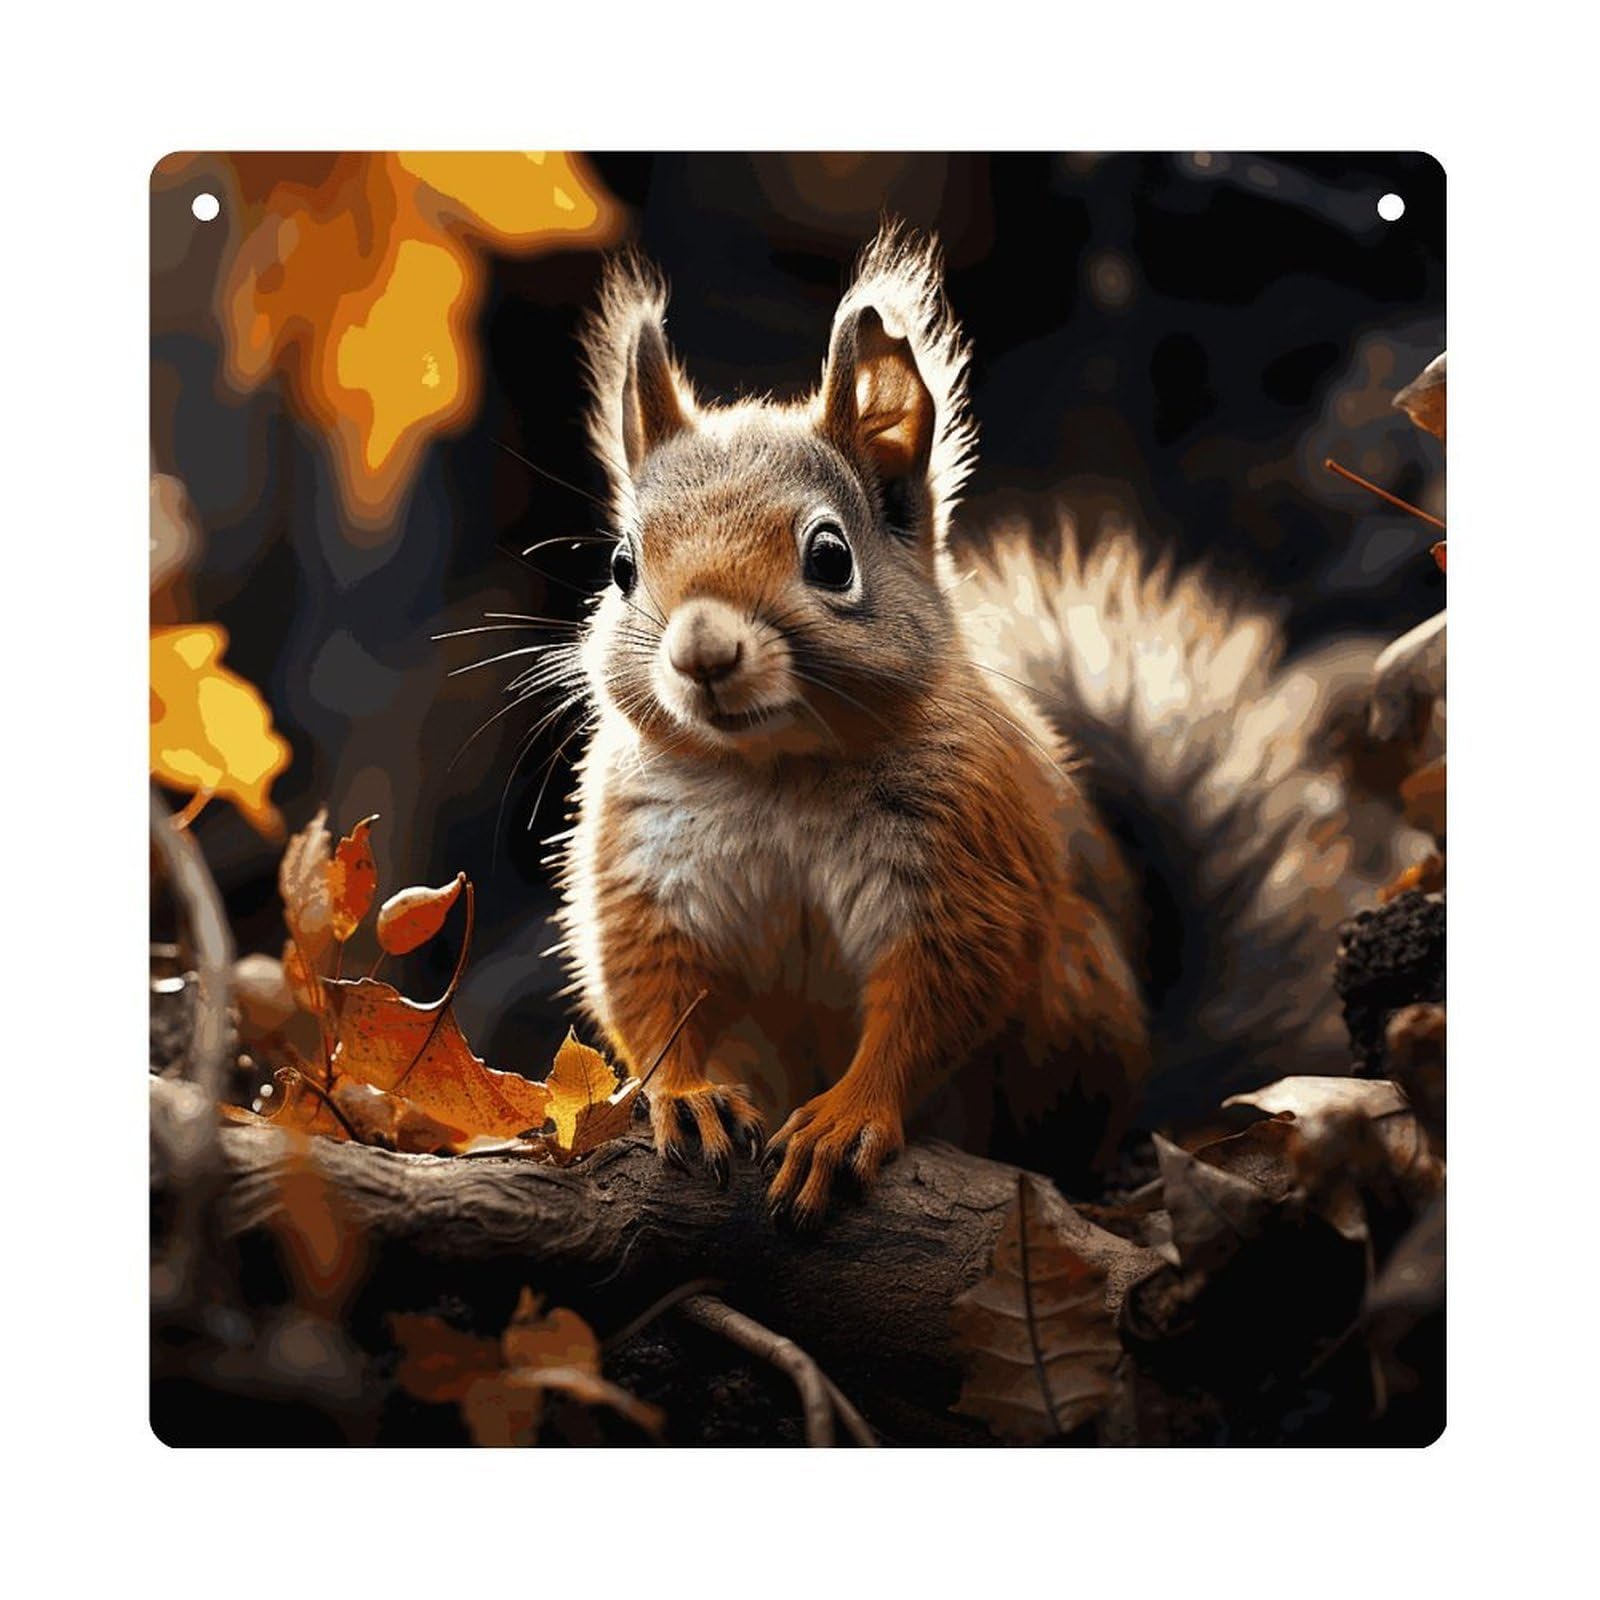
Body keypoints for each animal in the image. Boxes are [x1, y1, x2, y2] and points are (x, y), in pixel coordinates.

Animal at [553, 221, 1399, 1227]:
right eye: (621, 565)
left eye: (830, 556)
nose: (702, 654)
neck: (775, 770)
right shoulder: (645, 864)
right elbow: (651, 989)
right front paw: (686, 1095)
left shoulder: (962, 855)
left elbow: (937, 995)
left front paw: (845, 1117)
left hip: (1072, 1016)